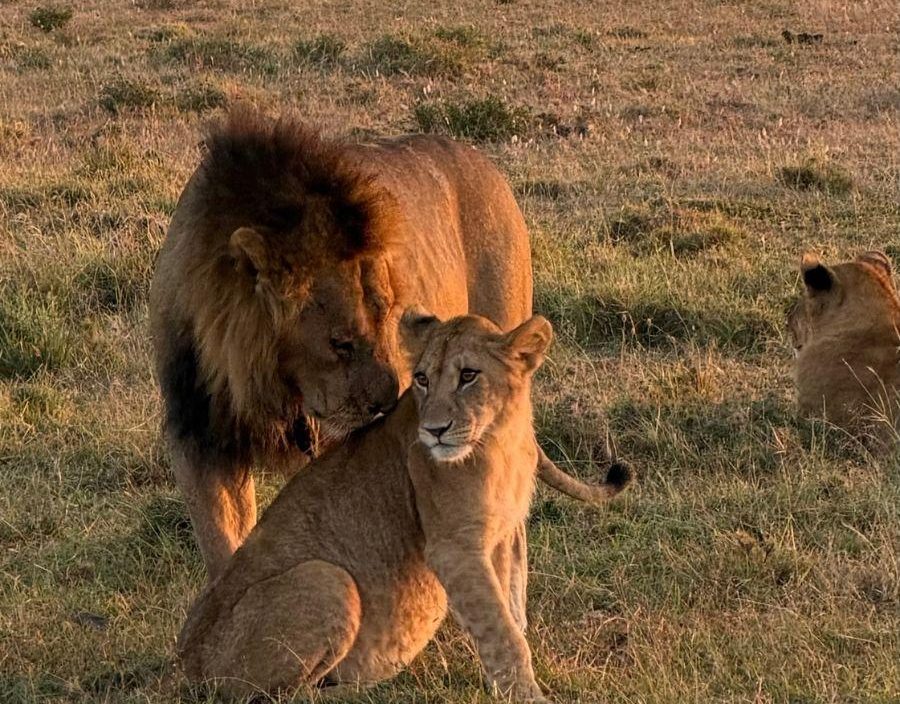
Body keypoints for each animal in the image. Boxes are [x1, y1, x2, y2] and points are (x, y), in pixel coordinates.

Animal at [150, 107, 624, 580]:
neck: (262, 382)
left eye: (389, 317)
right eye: (340, 342)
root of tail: (485, 165)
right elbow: (225, 548)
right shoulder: (199, 436)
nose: (388, 404)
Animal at [177, 311, 632, 701]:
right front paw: (528, 696)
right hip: (326, 578)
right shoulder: (453, 548)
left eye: (469, 375)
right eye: (422, 379)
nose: (434, 431)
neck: (503, 436)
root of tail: (182, 665)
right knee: (285, 696)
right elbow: (501, 633)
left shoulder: (500, 534)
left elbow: (510, 612)